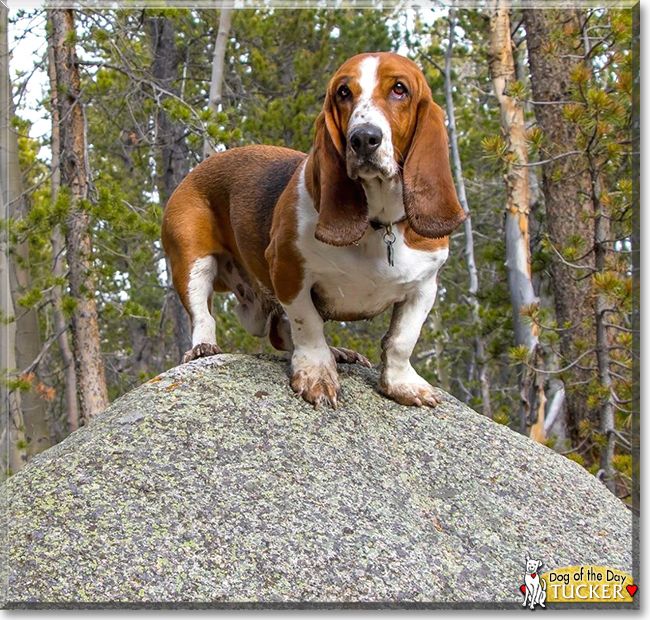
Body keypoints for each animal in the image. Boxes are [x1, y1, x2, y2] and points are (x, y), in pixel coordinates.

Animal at [162, 52, 466, 406]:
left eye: (400, 89)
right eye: (343, 92)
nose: (363, 139)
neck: (379, 224)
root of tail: (197, 170)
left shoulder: (424, 286)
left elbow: (402, 339)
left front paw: (401, 384)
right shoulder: (289, 271)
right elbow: (308, 324)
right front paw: (317, 374)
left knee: (280, 333)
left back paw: (339, 352)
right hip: (192, 261)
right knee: (204, 313)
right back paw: (204, 346)